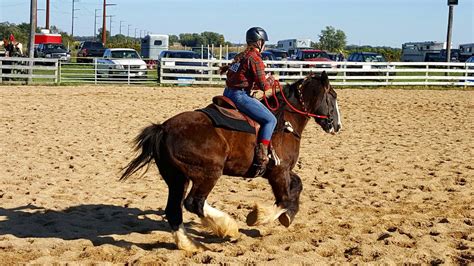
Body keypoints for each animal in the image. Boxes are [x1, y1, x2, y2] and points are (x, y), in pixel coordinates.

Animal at [118, 71, 340, 251]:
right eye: (333, 97)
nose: (337, 126)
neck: (285, 122)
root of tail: (163, 129)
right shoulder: (279, 171)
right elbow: (284, 199)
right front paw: (257, 216)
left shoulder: (279, 171)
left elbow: (298, 186)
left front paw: (288, 216)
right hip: (209, 173)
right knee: (194, 203)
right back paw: (229, 228)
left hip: (176, 179)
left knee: (174, 210)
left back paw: (189, 244)